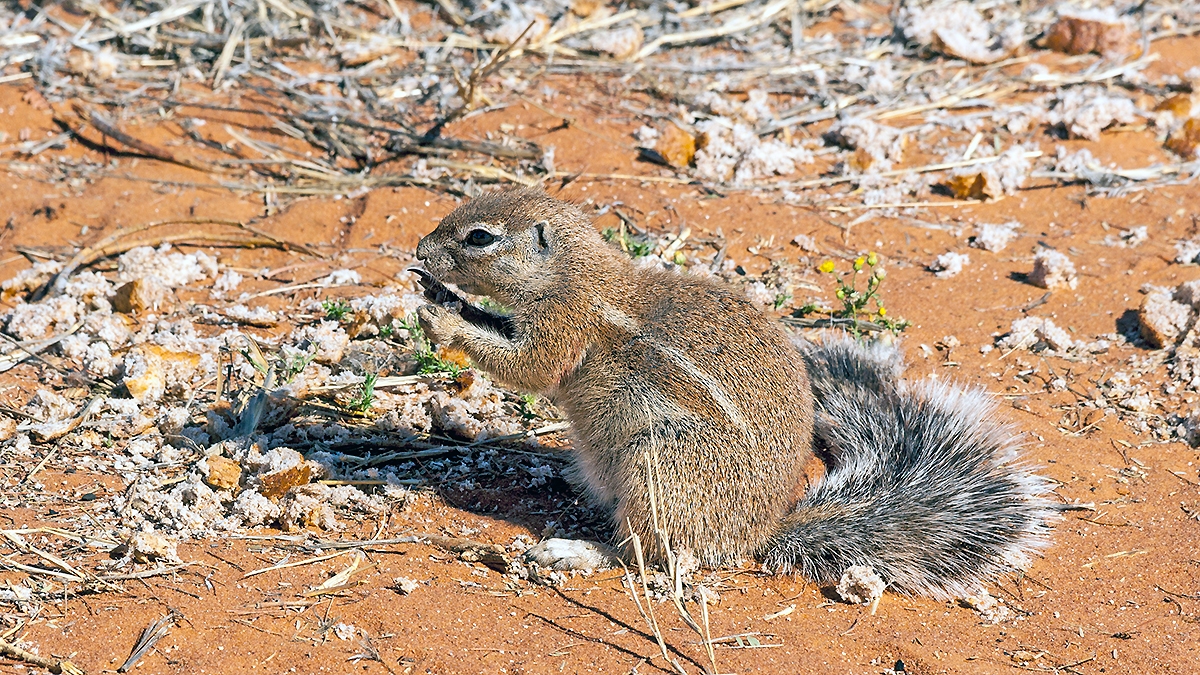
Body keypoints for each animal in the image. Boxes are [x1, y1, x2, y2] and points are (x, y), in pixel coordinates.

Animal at [414, 187, 1055, 599]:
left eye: (479, 237)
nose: (419, 251)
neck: (574, 275)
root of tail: (759, 532)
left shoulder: (565, 327)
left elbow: (528, 367)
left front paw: (442, 319)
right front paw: (440, 298)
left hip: (656, 471)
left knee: (646, 552)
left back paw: (571, 551)